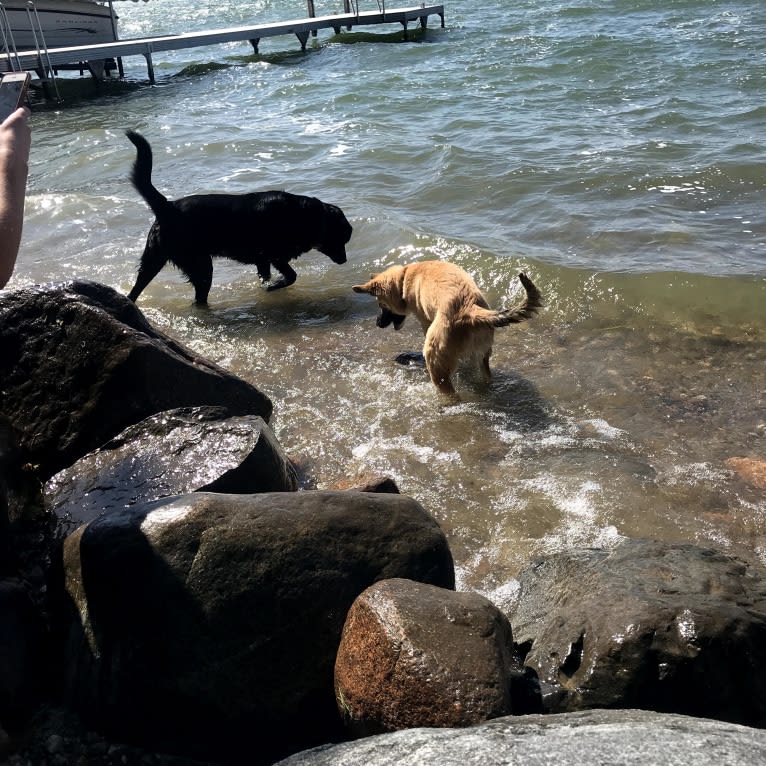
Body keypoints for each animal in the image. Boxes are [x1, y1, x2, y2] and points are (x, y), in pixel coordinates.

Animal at [126, 130, 354, 304]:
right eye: (341, 238)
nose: (344, 260)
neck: (304, 215)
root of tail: (168, 206)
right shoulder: (273, 254)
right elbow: (291, 276)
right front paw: (274, 287)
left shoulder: (263, 260)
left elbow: (266, 276)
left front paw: (268, 286)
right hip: (200, 265)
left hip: (153, 260)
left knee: (135, 291)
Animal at [352, 260, 544, 400]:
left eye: (381, 305)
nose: (378, 323)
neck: (405, 278)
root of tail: (470, 310)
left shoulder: (425, 321)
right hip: (481, 356)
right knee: (485, 376)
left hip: (435, 358)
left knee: (449, 392)